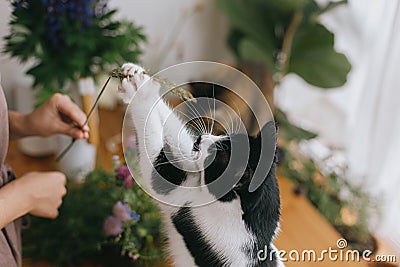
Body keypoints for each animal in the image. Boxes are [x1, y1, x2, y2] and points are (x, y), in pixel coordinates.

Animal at [117, 63, 282, 266]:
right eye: (225, 136)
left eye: (218, 150)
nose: (202, 138)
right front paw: (136, 74)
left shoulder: (187, 203)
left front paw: (140, 90)